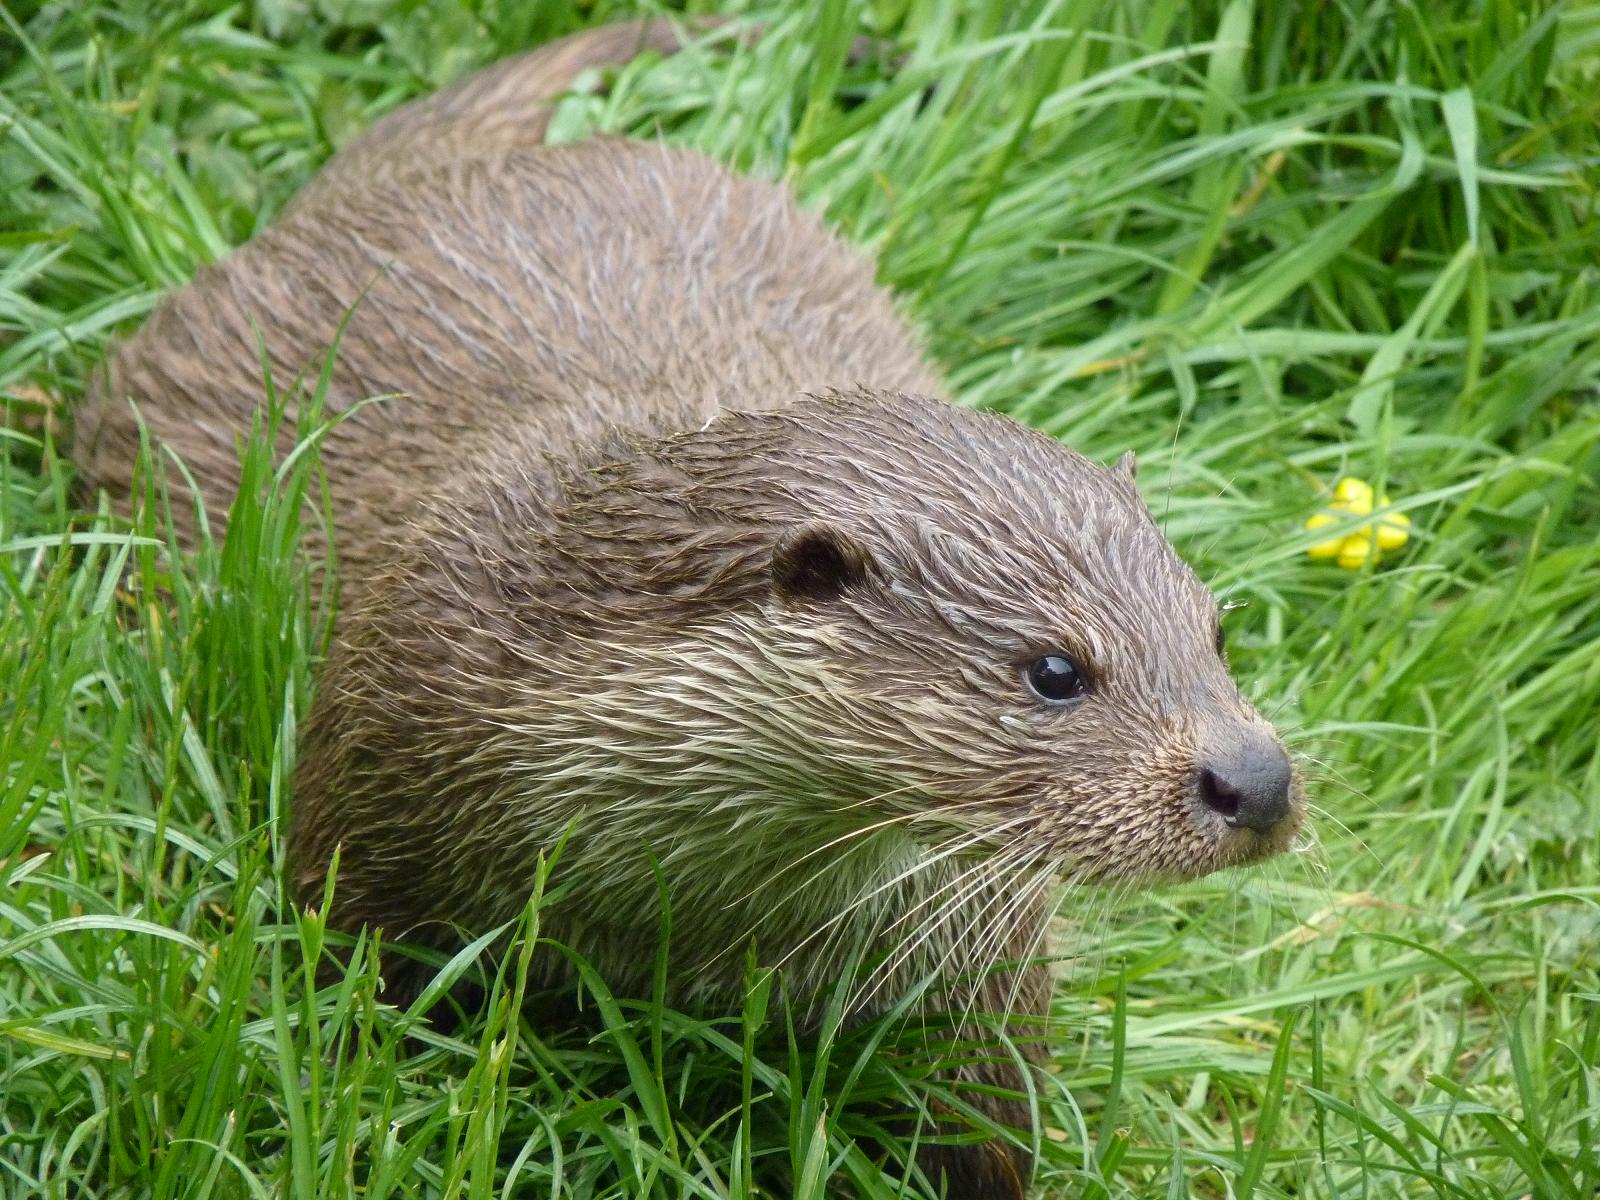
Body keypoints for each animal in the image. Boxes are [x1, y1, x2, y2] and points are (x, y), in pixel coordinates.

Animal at [74, 18, 1304, 1198]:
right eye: (1053, 671)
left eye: (1216, 631)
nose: (1257, 779)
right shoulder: (369, 797)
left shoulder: (968, 956)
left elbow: (989, 1119)